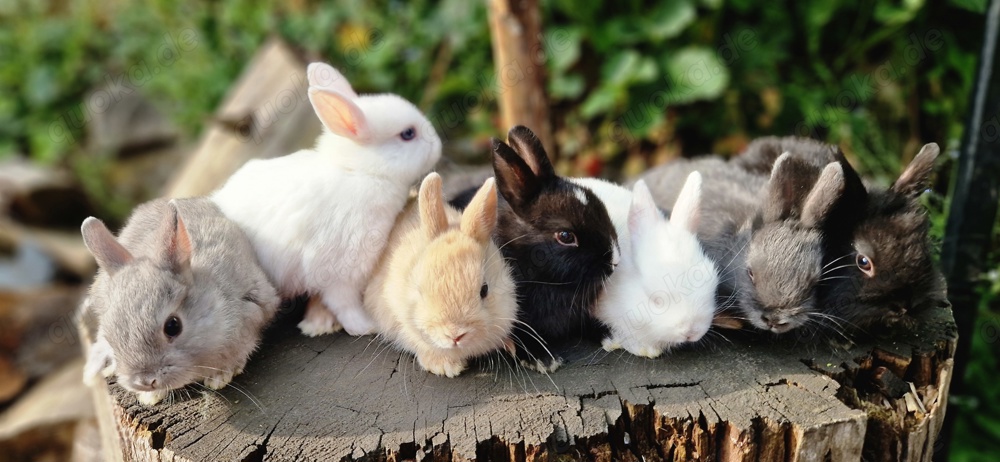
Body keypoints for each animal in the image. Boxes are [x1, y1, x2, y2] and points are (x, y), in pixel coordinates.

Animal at [80, 198, 280, 406]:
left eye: (173, 326)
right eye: (111, 338)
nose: (145, 381)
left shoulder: (254, 310)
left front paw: (219, 378)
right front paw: (149, 397)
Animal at [211, 62, 442, 337]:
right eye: (407, 134)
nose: (438, 144)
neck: (360, 172)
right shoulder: (340, 271)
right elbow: (344, 304)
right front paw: (367, 326)